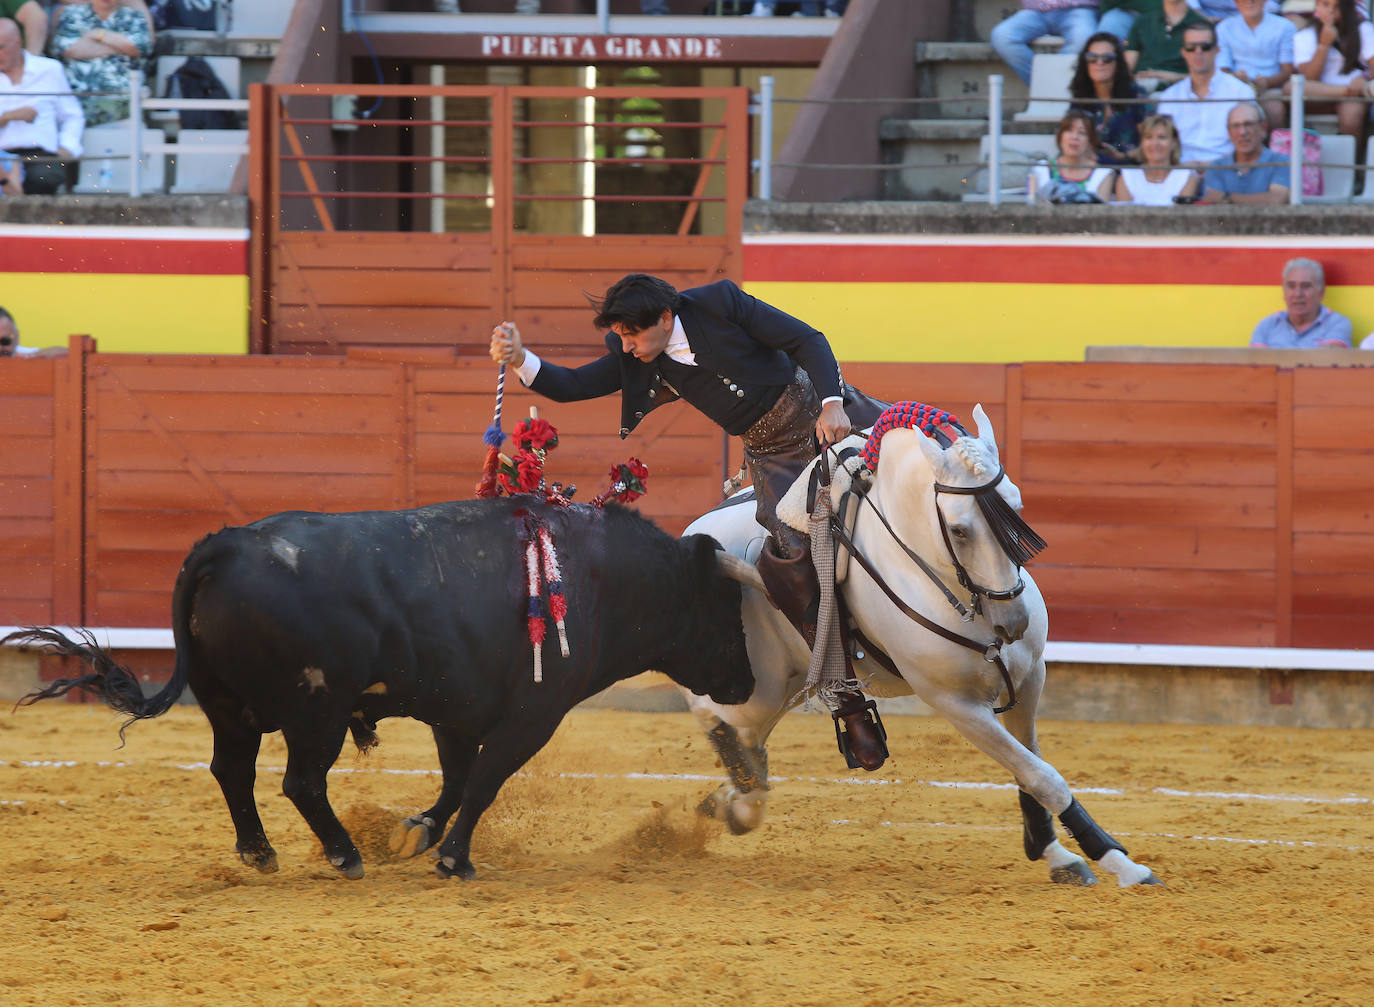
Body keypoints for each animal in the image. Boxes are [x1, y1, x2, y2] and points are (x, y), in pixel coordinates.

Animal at [5, 500, 758, 873]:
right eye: (728, 611)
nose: (747, 680)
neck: (597, 576)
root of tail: (223, 545)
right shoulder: (532, 714)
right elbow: (484, 782)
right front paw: (452, 858)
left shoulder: (457, 709)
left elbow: (458, 779)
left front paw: (418, 833)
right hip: (318, 707)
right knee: (300, 781)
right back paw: (343, 854)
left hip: (229, 704)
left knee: (233, 769)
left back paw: (261, 852)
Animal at [687, 401, 1159, 890]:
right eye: (959, 529)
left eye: (1016, 505)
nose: (1014, 623)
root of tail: (699, 525)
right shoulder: (954, 703)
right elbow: (1042, 775)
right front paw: (1119, 862)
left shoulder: (1030, 679)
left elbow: (1029, 766)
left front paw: (1055, 852)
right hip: (756, 686)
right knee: (711, 711)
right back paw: (737, 802)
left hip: (788, 687)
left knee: (751, 745)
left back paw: (728, 803)